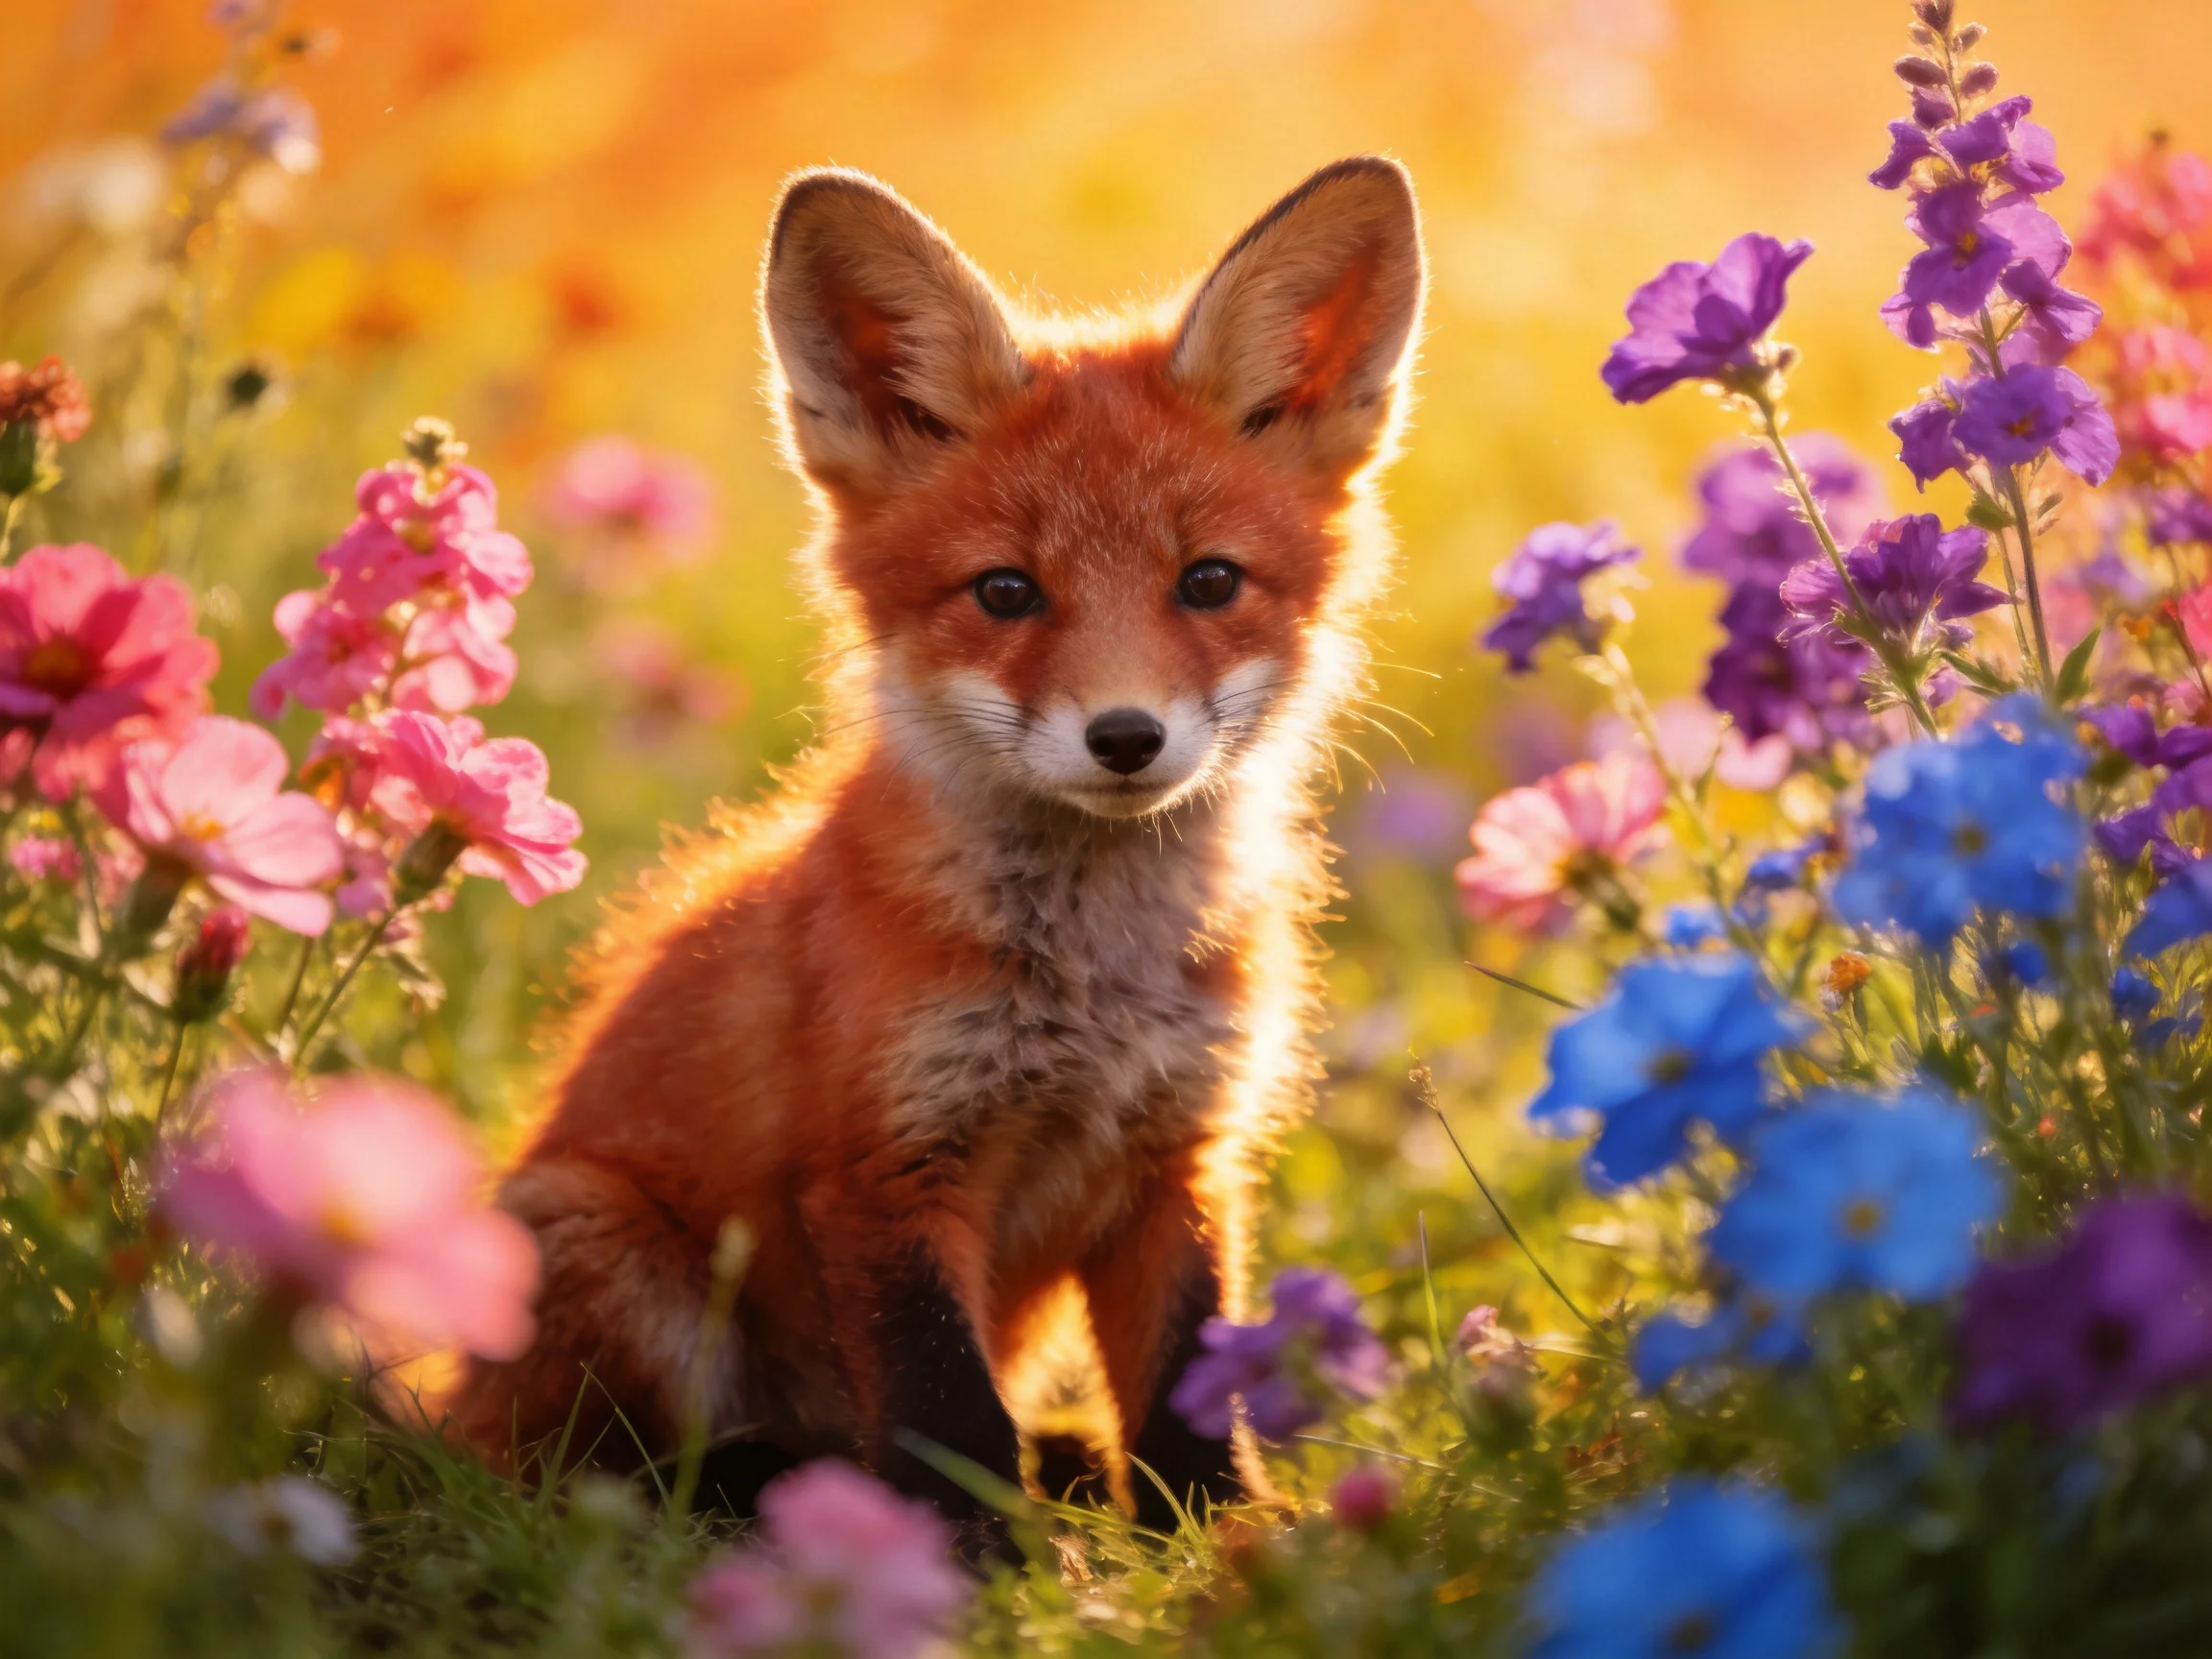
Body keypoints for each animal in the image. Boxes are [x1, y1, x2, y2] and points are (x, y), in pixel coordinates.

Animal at [448, 155, 1426, 1544]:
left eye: (1209, 582)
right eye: (1005, 592)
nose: (1126, 737)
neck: (1091, 990)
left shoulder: (1179, 1157)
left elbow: (1189, 1379)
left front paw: (1218, 1537)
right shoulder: (888, 1171)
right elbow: (945, 1414)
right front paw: (974, 1564)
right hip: (599, 1245)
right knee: (608, 1477)